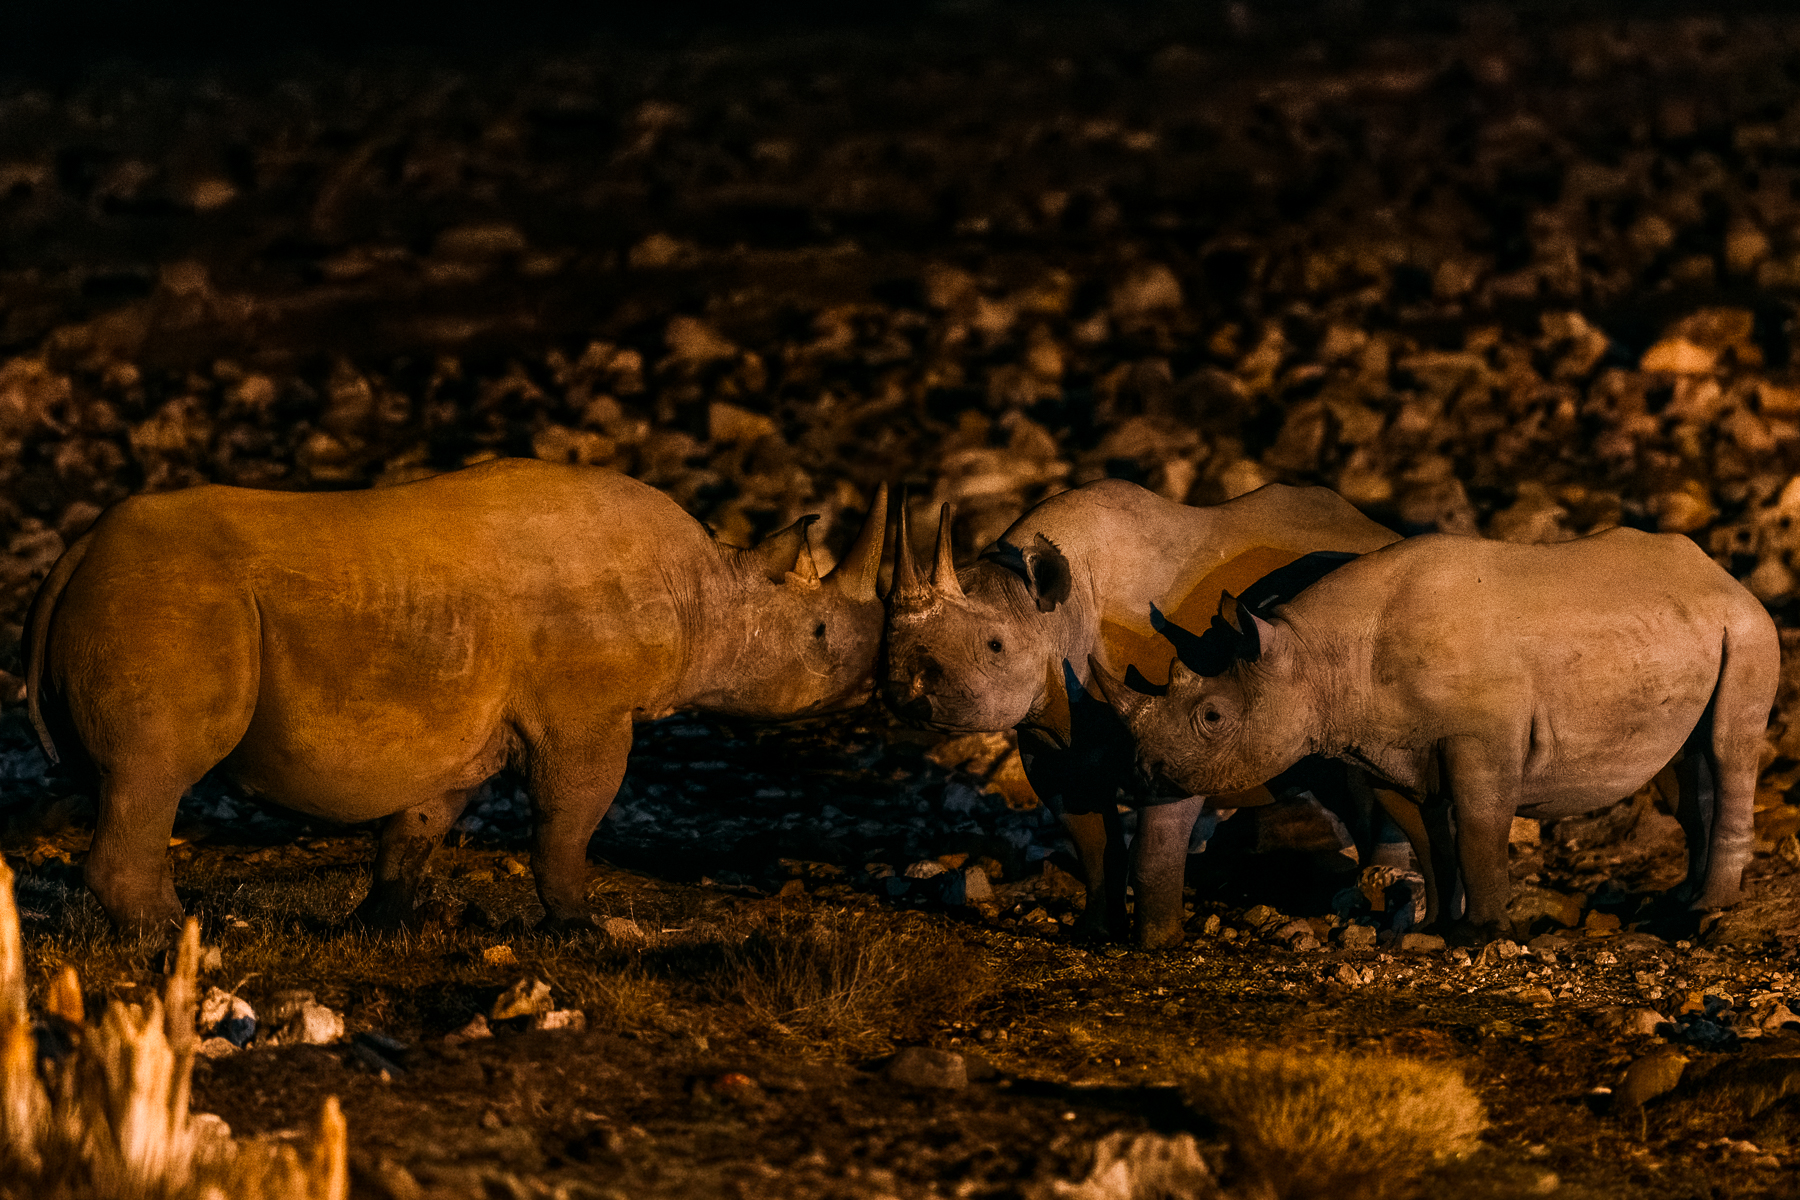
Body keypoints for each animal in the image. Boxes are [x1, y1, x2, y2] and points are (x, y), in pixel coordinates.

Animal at [23, 458, 888, 935]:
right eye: (818, 634)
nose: (870, 680)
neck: (710, 590)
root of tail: (79, 552)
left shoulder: (465, 723)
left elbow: (422, 821)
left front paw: (381, 925)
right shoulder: (587, 716)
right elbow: (569, 820)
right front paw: (581, 930)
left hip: (145, 593)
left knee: (127, 779)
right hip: (171, 598)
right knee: (155, 771)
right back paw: (176, 936)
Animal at [882, 479, 1399, 947]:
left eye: (995, 646)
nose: (905, 695)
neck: (1061, 611)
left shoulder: (1180, 741)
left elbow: (1154, 848)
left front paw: (1157, 943)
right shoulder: (1051, 741)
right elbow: (1091, 842)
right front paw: (1094, 934)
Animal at [1087, 528, 1781, 942]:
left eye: (1212, 719)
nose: (1142, 773)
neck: (1313, 657)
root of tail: (1723, 576)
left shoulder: (1481, 739)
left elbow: (1477, 827)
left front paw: (1484, 934)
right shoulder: (1381, 748)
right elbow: (1426, 837)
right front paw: (1439, 930)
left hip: (1748, 629)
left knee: (1728, 749)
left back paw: (1707, 912)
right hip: (1686, 631)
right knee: (1684, 767)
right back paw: (1682, 900)